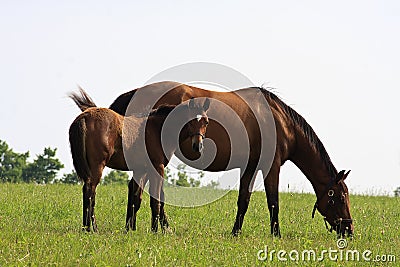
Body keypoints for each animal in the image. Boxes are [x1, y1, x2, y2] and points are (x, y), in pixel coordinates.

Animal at [69, 89, 211, 232]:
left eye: (206, 122)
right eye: (190, 121)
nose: (198, 146)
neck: (158, 129)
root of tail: (85, 117)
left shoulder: (141, 170)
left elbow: (136, 198)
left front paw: (130, 229)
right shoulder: (157, 168)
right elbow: (157, 200)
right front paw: (156, 230)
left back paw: (86, 227)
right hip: (97, 166)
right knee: (90, 192)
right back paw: (91, 228)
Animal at [107, 81, 354, 239]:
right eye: (340, 198)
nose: (349, 230)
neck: (278, 120)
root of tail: (135, 93)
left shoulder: (250, 167)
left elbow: (243, 200)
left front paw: (236, 232)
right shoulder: (271, 168)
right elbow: (273, 202)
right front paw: (276, 234)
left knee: (137, 190)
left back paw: (133, 227)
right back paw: (156, 228)